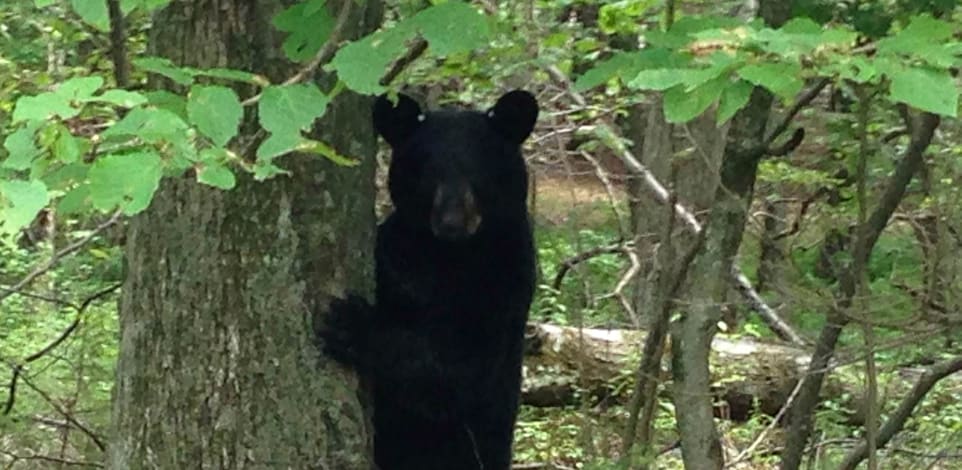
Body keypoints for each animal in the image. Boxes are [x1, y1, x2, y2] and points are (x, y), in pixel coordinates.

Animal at [318, 89, 536, 470]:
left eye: (480, 171)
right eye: (427, 173)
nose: (451, 222)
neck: (448, 255)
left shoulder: (506, 278)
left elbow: (459, 370)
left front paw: (352, 324)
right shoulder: (400, 247)